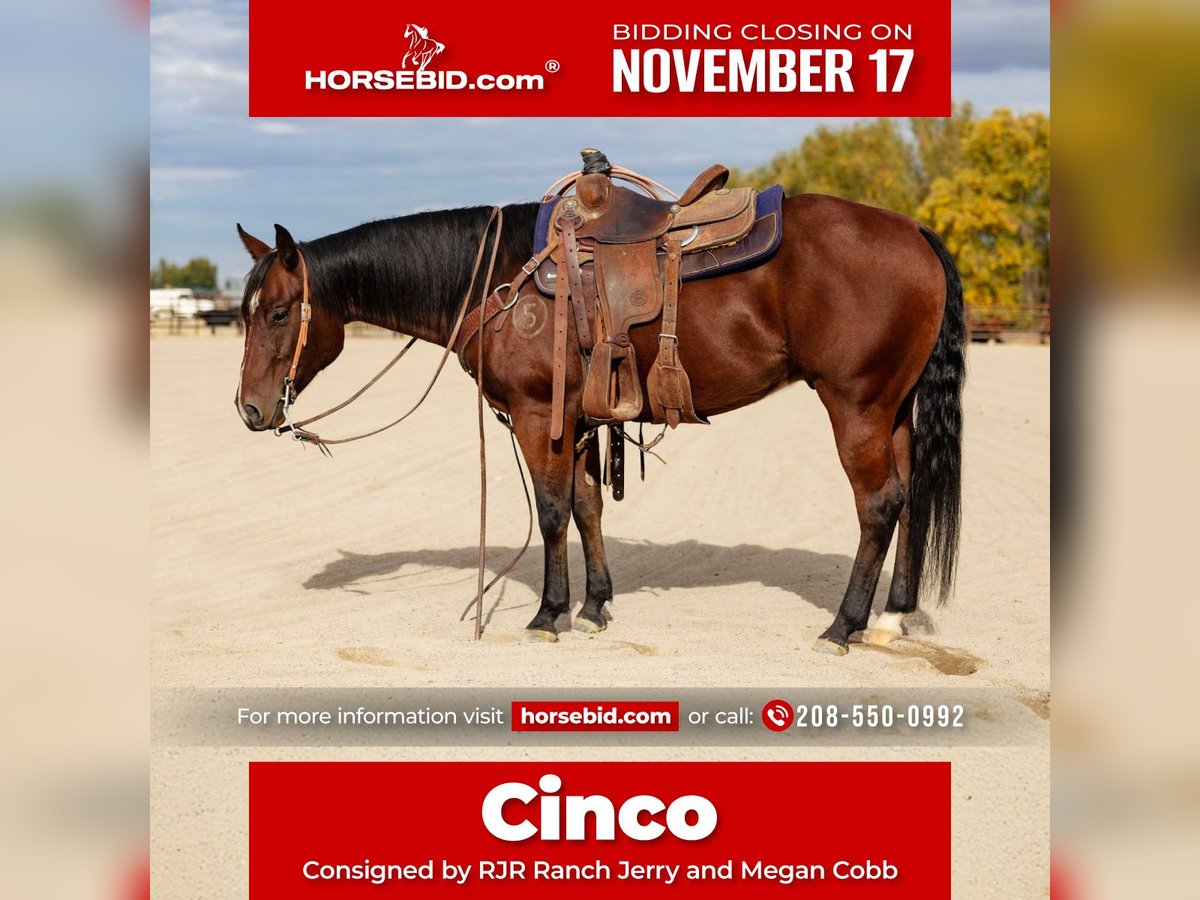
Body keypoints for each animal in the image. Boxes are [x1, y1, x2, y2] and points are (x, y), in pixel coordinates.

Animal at [233, 191, 964, 656]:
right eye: (244, 310)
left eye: (278, 312)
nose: (250, 409)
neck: (500, 281)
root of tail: (915, 232)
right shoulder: (580, 421)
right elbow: (587, 507)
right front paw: (594, 606)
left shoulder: (539, 416)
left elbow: (554, 511)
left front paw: (547, 614)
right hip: (893, 409)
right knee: (908, 498)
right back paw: (892, 617)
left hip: (856, 405)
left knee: (878, 503)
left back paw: (843, 626)